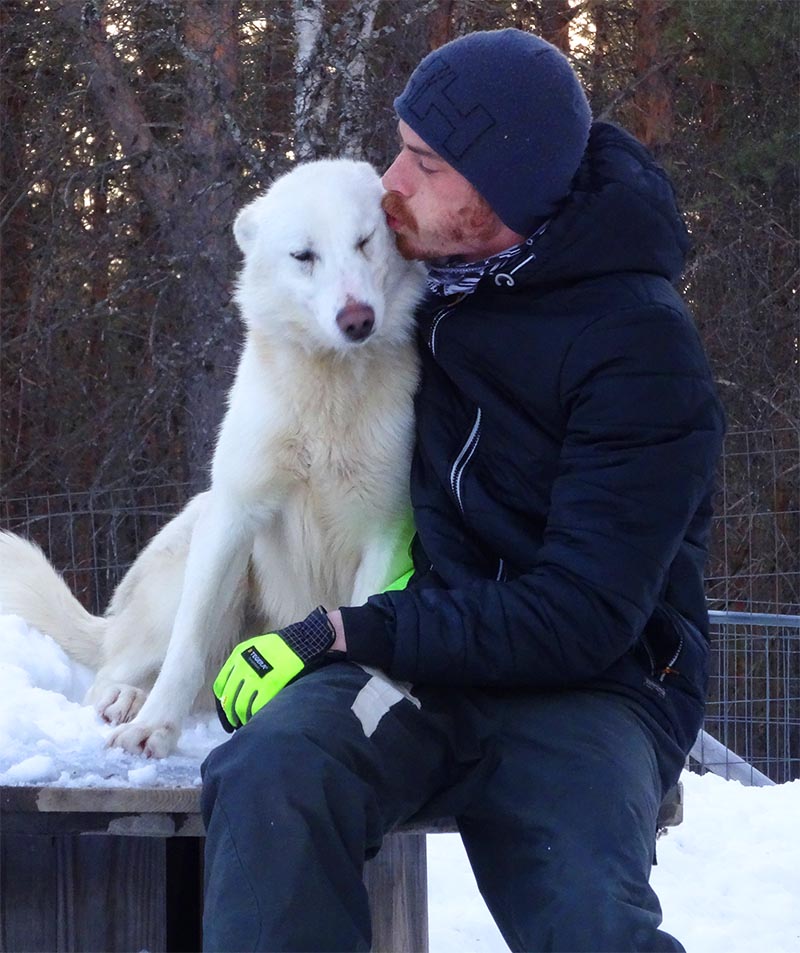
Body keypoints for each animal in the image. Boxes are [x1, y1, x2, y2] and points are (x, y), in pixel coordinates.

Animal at [0, 160, 424, 756]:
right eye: (304, 255)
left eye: (365, 241)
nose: (357, 319)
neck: (327, 390)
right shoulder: (233, 517)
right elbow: (188, 644)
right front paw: (153, 728)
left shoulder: (388, 533)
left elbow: (365, 624)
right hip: (197, 553)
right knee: (113, 674)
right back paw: (127, 702)